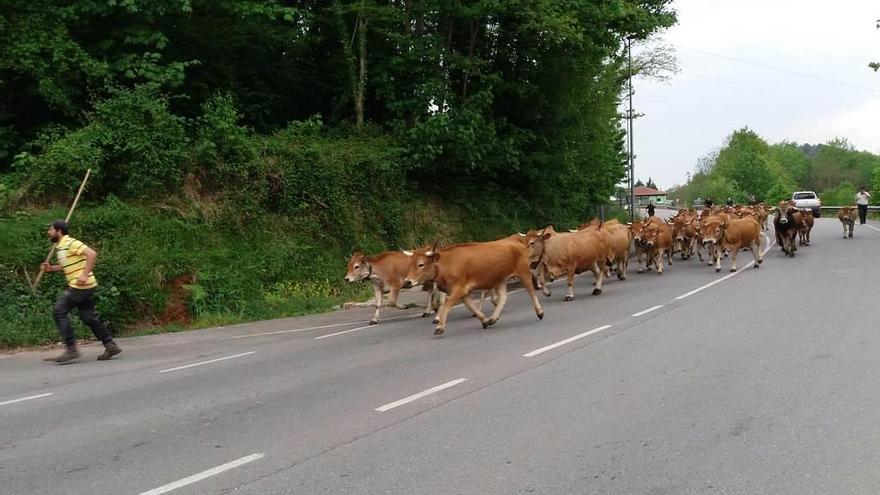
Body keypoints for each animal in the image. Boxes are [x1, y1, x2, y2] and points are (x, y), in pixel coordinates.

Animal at [400, 237, 540, 338]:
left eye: (421, 264)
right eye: (410, 264)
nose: (407, 282)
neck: (446, 265)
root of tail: (514, 241)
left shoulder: (458, 289)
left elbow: (446, 305)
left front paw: (439, 327)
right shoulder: (463, 292)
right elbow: (470, 306)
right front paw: (484, 320)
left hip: (523, 272)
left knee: (531, 291)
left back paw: (539, 311)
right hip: (500, 279)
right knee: (503, 298)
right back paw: (493, 318)